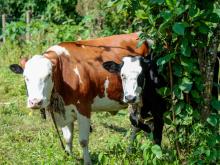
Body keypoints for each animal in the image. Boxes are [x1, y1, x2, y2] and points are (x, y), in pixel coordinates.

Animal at [9, 32, 153, 164]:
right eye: (25, 77)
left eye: (48, 75)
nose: (35, 102)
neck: (63, 71)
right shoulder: (64, 109)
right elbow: (68, 137)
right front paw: (69, 156)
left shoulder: (83, 108)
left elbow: (83, 140)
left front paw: (87, 161)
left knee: (137, 126)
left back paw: (130, 150)